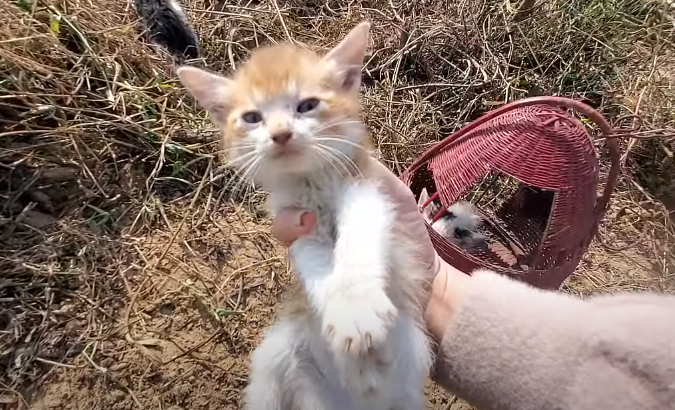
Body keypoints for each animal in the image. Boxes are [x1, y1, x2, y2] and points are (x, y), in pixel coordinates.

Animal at [176, 21, 434, 410]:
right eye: (252, 118)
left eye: (307, 105)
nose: (281, 134)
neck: (311, 180)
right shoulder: (296, 221)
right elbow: (316, 262)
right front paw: (345, 311)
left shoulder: (367, 192)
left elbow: (357, 241)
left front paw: (357, 307)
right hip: (276, 363)